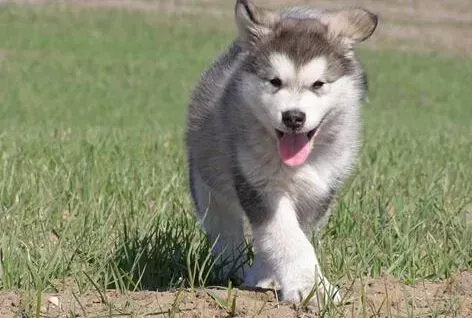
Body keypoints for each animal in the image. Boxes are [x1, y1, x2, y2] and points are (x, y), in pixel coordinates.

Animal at [184, 0, 376, 304]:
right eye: (275, 81)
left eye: (318, 84)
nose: (293, 117)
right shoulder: (257, 183)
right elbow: (286, 237)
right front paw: (312, 288)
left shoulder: (320, 189)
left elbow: (292, 236)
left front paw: (285, 279)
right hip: (207, 179)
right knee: (223, 226)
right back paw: (234, 268)